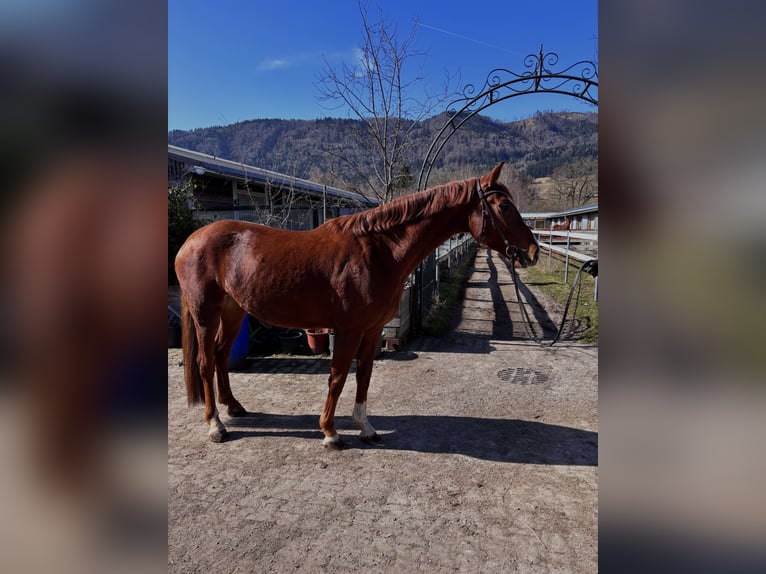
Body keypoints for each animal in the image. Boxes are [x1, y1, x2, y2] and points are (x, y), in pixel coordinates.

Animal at [174, 162, 539, 448]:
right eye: (504, 207)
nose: (532, 251)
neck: (378, 251)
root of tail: (191, 240)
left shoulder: (373, 328)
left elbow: (364, 374)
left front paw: (365, 427)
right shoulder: (348, 330)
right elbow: (338, 376)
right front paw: (330, 432)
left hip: (234, 311)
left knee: (222, 356)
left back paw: (233, 407)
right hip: (206, 314)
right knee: (205, 362)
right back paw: (216, 425)